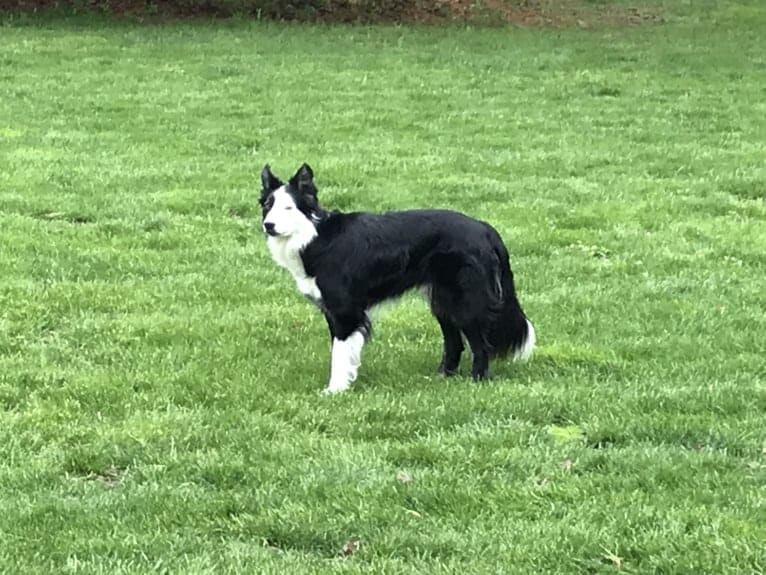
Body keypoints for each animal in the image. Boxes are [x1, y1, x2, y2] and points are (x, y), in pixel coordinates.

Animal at [260, 164, 536, 394]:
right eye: (267, 206)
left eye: (288, 208)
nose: (268, 225)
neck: (315, 236)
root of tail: (485, 228)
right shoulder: (334, 312)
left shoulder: (345, 311)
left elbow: (339, 353)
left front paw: (335, 390)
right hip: (442, 299)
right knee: (454, 341)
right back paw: (443, 376)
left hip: (465, 298)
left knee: (479, 343)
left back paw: (477, 379)